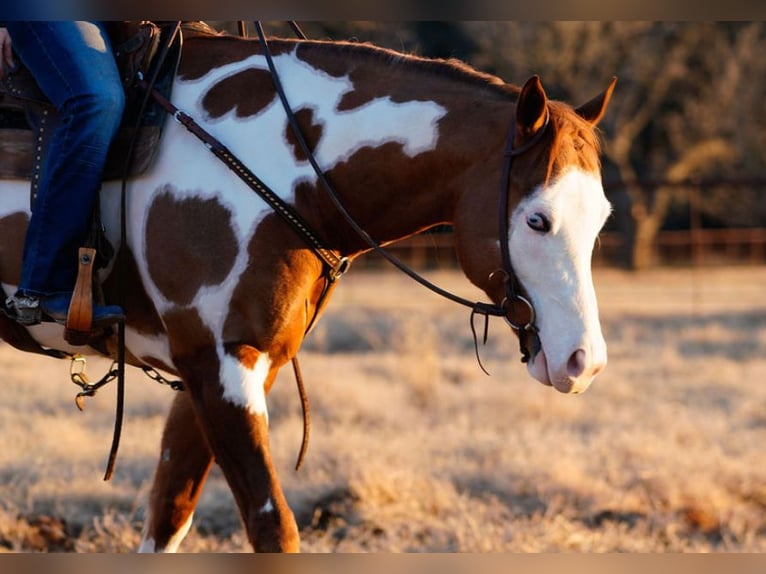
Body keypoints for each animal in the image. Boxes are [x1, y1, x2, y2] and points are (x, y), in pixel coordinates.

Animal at [0, 28, 616, 552]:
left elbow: (170, 514)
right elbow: (274, 527)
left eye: (601, 219)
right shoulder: (218, 365)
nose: (583, 362)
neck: (286, 166)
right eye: (537, 220)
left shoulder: (225, 369)